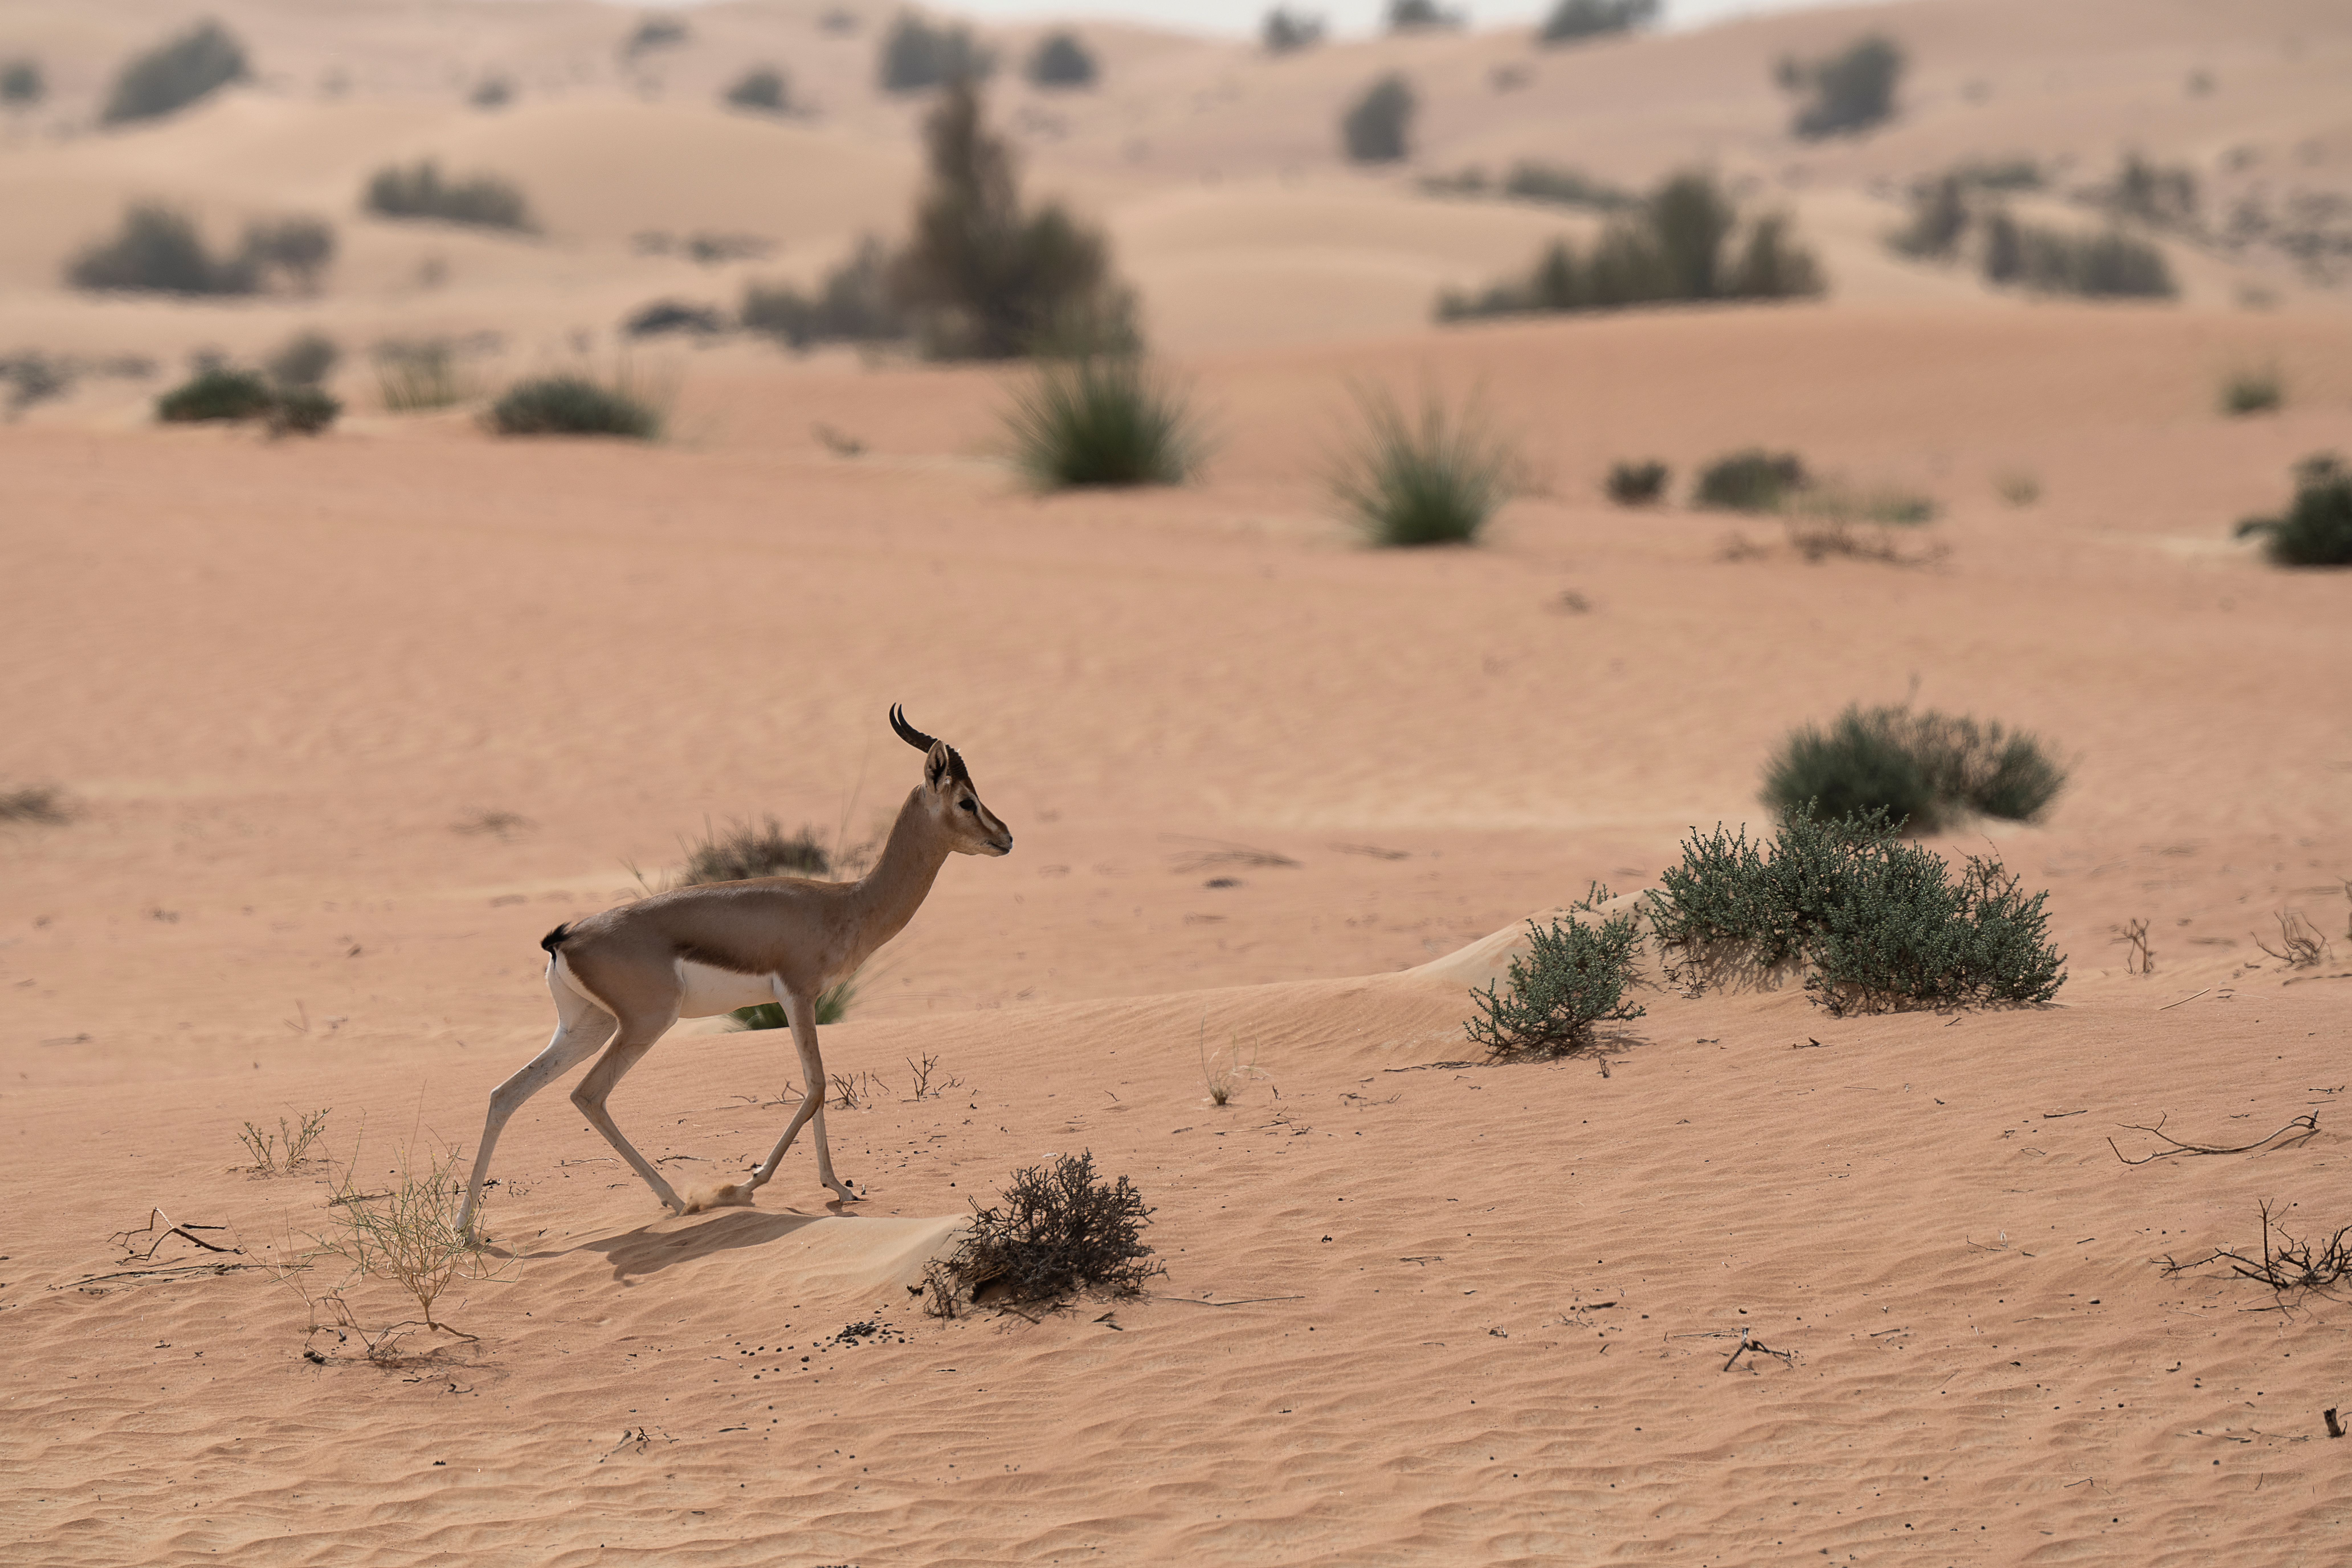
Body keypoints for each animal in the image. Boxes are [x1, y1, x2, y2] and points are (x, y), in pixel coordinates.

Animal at [455, 707, 1012, 1240]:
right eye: (967, 801)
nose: (1006, 838)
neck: (846, 902)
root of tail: (564, 938)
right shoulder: (798, 996)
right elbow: (816, 1086)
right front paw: (748, 1184)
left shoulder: (804, 1002)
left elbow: (818, 1088)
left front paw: (838, 1188)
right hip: (644, 1025)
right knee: (588, 1094)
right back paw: (680, 1199)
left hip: (585, 1028)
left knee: (506, 1094)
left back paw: (466, 1228)